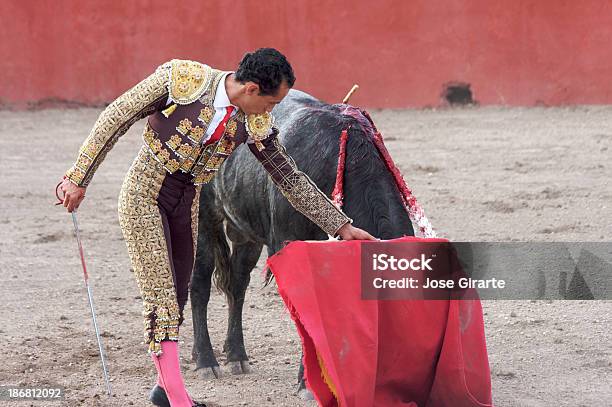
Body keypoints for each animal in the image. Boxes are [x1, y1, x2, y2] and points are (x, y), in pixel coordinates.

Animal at [189, 90, 414, 392]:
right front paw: (308, 383)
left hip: (246, 231)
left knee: (237, 284)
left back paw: (237, 356)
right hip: (203, 217)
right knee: (200, 283)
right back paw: (205, 360)